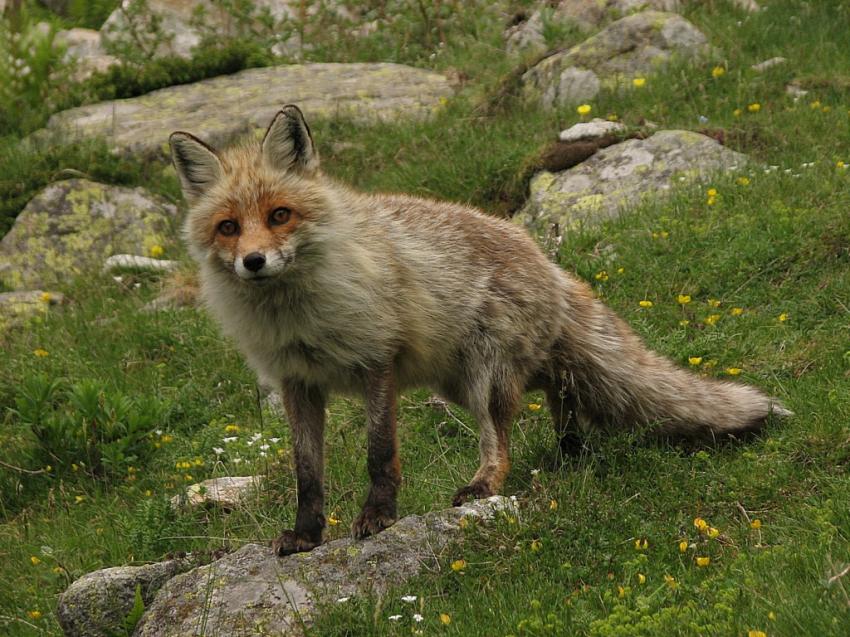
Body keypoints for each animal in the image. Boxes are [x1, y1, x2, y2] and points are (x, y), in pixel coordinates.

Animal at [169, 105, 790, 556]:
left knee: (506, 437)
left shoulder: (377, 360)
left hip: (482, 378)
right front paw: (306, 535)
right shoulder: (298, 383)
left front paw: (378, 518)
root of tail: (550, 263)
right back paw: (572, 450)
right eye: (228, 227)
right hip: (462, 381)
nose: (253, 262)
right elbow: (307, 474)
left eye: (280, 215)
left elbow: (379, 454)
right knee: (561, 389)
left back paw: (487, 485)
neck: (298, 315)